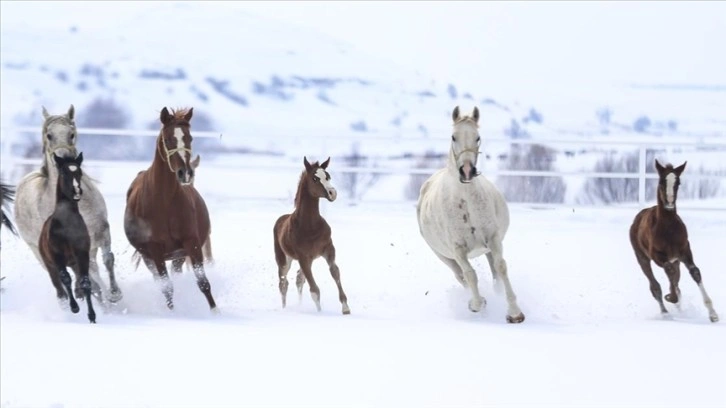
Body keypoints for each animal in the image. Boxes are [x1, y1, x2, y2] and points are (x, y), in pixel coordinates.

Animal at [14, 104, 123, 302]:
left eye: (71, 134)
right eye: (49, 135)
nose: (64, 161)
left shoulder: (102, 231)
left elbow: (108, 259)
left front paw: (114, 294)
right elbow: (89, 273)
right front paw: (108, 296)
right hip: (40, 253)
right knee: (63, 281)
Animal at [123, 107, 216, 310]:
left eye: (190, 138)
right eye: (167, 139)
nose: (185, 173)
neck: (163, 202)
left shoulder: (191, 243)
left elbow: (203, 282)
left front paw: (216, 311)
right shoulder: (155, 250)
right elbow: (167, 288)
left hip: (178, 256)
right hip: (149, 258)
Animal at [274, 158, 352, 314]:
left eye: (328, 176)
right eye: (315, 178)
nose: (332, 193)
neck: (310, 226)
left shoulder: (329, 249)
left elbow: (335, 272)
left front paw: (345, 307)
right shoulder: (303, 257)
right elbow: (314, 288)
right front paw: (320, 312)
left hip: (308, 260)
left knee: (299, 279)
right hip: (284, 259)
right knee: (283, 282)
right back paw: (284, 308)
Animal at [418, 107, 528, 324]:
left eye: (477, 137)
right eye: (454, 136)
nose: (467, 171)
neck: (466, 203)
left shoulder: (493, 239)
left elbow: (501, 267)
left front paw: (514, 312)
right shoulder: (457, 249)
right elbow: (469, 275)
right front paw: (477, 304)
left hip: (486, 250)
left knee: (495, 274)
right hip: (444, 256)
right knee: (460, 276)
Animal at [628, 159, 720, 322]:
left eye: (678, 183)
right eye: (661, 181)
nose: (669, 203)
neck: (668, 228)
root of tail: (636, 219)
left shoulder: (684, 251)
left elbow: (695, 272)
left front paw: (712, 313)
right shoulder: (657, 256)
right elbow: (667, 274)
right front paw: (671, 297)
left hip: (675, 260)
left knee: (674, 277)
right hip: (642, 258)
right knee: (655, 285)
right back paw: (665, 312)